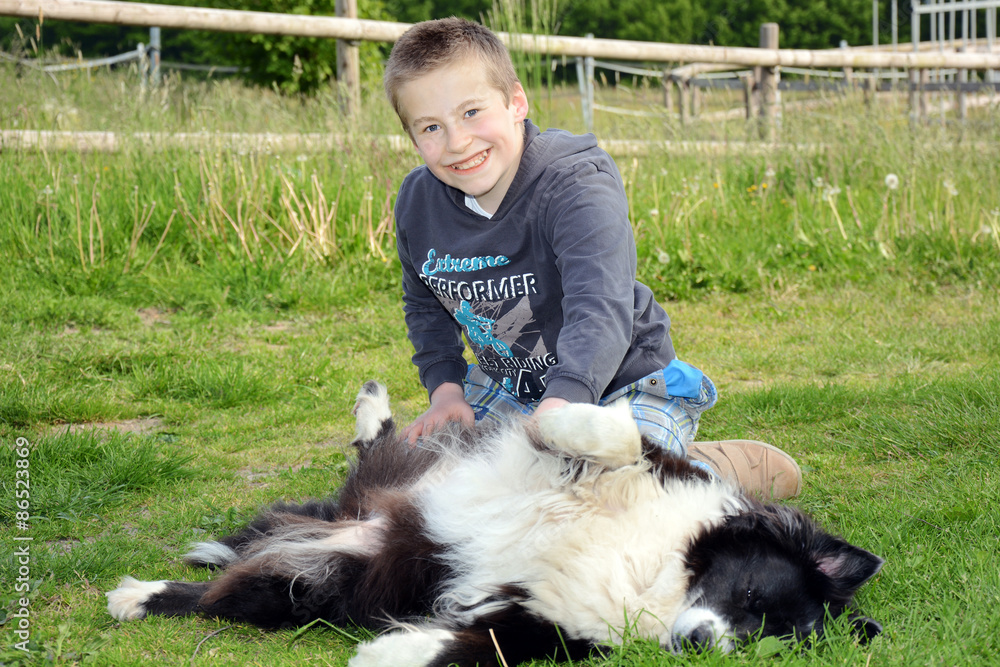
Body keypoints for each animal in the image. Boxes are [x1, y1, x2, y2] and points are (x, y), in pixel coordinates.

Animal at [105, 380, 880, 667]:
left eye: (763, 641)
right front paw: (565, 418)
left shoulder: (543, 623)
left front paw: (388, 652)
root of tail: (344, 527)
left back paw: (140, 595)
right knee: (375, 453)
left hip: (312, 583)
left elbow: (473, 648)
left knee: (219, 593)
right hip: (397, 486)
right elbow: (614, 435)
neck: (660, 571)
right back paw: (373, 407)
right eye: (749, 595)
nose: (697, 643)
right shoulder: (638, 471)